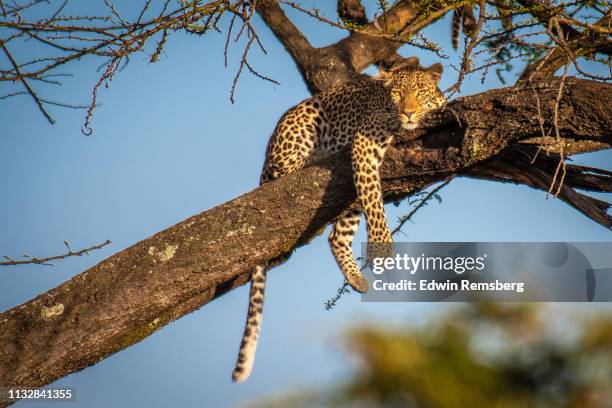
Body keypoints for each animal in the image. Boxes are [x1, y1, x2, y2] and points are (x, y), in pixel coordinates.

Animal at [230, 56, 444, 382]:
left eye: (420, 93)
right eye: (397, 94)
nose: (408, 112)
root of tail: (268, 149)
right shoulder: (366, 144)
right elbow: (375, 202)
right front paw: (381, 246)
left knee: (336, 235)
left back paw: (355, 278)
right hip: (302, 127)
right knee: (285, 170)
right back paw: (310, 160)